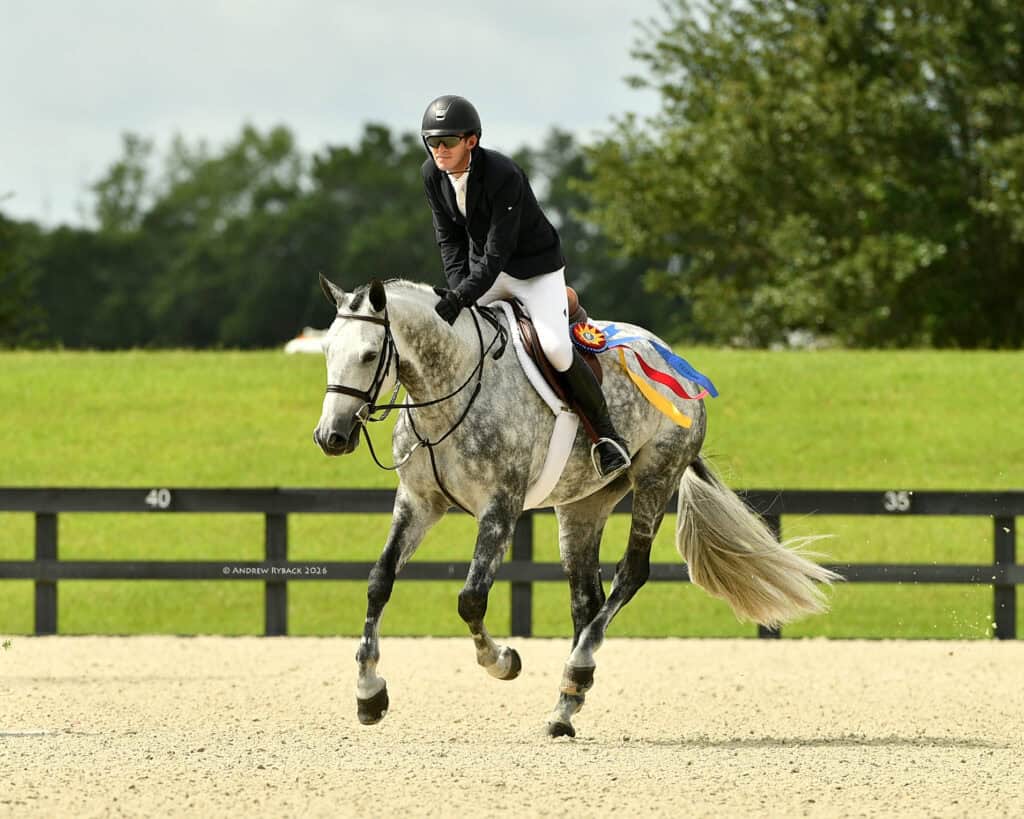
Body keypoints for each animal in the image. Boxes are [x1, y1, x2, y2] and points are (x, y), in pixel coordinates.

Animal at [312, 275, 839, 738]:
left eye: (368, 355)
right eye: (326, 352)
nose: (331, 437)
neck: (450, 389)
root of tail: (675, 362)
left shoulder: (500, 510)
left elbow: (471, 600)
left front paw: (503, 662)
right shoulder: (419, 503)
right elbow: (379, 582)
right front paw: (369, 694)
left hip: (656, 477)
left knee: (630, 574)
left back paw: (577, 672)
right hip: (583, 505)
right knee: (587, 598)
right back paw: (566, 705)